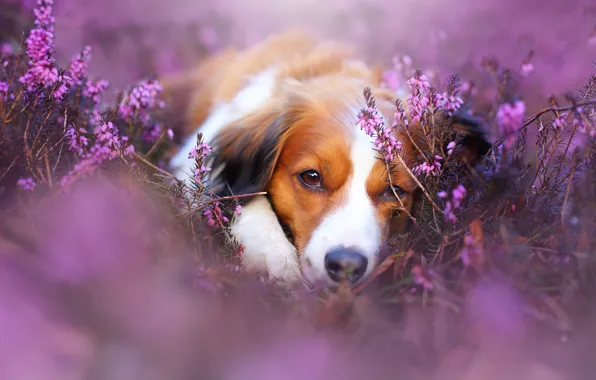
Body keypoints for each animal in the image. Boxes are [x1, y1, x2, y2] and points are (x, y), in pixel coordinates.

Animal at [162, 29, 488, 288]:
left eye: (394, 191)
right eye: (311, 177)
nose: (346, 266)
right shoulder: (193, 163)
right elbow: (246, 200)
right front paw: (274, 257)